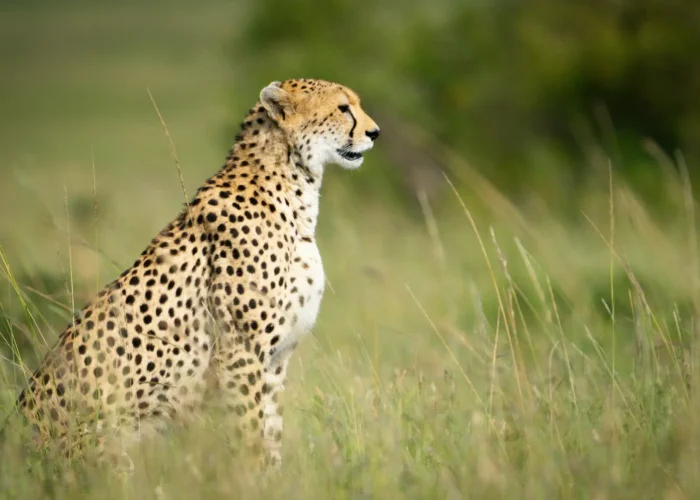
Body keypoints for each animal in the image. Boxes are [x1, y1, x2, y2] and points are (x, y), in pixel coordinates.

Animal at [13, 78, 380, 470]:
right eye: (343, 108)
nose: (375, 132)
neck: (293, 184)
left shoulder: (275, 359)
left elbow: (271, 433)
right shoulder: (240, 354)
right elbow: (252, 431)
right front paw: (252, 476)